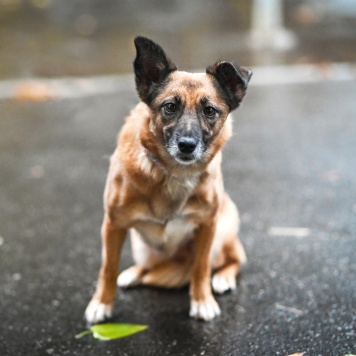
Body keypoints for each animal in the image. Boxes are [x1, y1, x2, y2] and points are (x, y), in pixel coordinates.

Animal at [85, 35, 252, 322]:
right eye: (170, 107)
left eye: (209, 110)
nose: (186, 145)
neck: (173, 174)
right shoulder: (113, 225)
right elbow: (107, 267)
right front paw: (101, 304)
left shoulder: (207, 226)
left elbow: (201, 267)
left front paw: (202, 300)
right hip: (140, 245)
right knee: (150, 266)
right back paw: (133, 274)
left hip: (222, 231)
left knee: (234, 258)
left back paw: (222, 278)